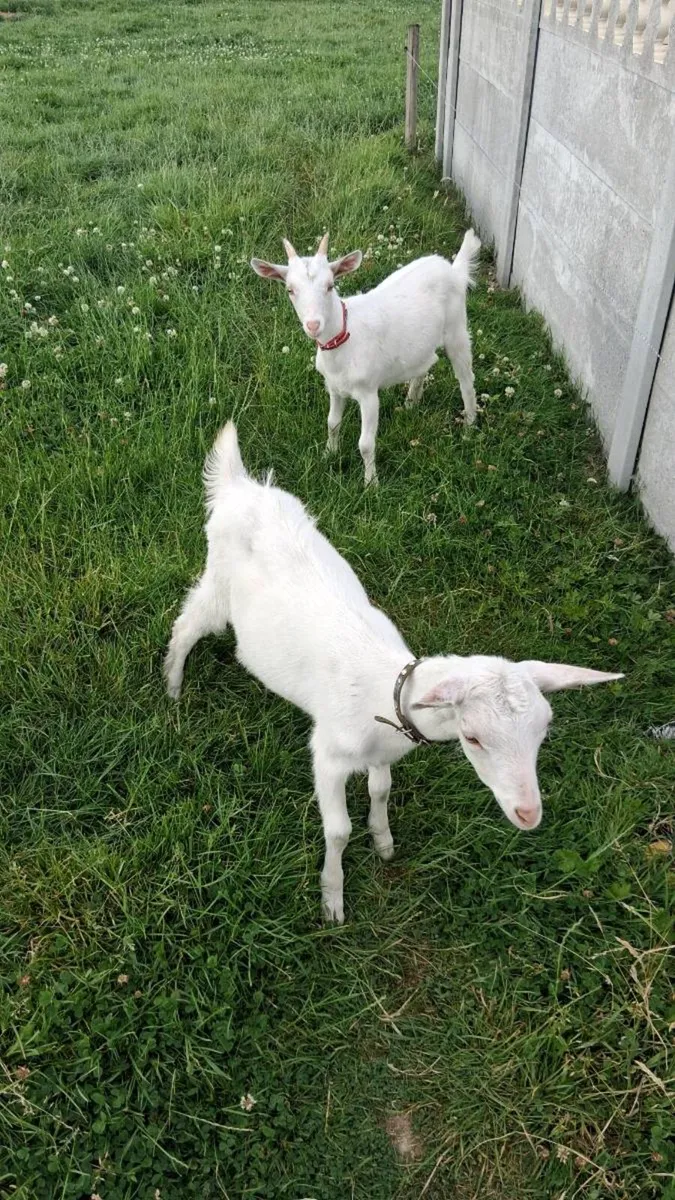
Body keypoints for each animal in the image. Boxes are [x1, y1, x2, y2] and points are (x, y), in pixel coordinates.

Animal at [164, 424, 623, 923]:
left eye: (544, 730)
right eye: (474, 737)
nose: (528, 814)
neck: (384, 696)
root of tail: (240, 486)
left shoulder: (383, 749)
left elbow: (382, 789)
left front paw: (383, 842)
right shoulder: (327, 754)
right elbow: (338, 830)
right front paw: (332, 899)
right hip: (218, 583)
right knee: (186, 624)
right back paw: (173, 687)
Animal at [250, 230, 481, 485]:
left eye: (330, 285)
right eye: (290, 289)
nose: (313, 325)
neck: (345, 338)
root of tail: (454, 270)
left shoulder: (369, 393)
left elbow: (366, 444)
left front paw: (371, 484)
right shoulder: (334, 387)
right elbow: (332, 423)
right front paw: (329, 454)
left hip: (457, 329)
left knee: (466, 380)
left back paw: (469, 427)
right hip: (422, 343)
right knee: (427, 363)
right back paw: (411, 404)